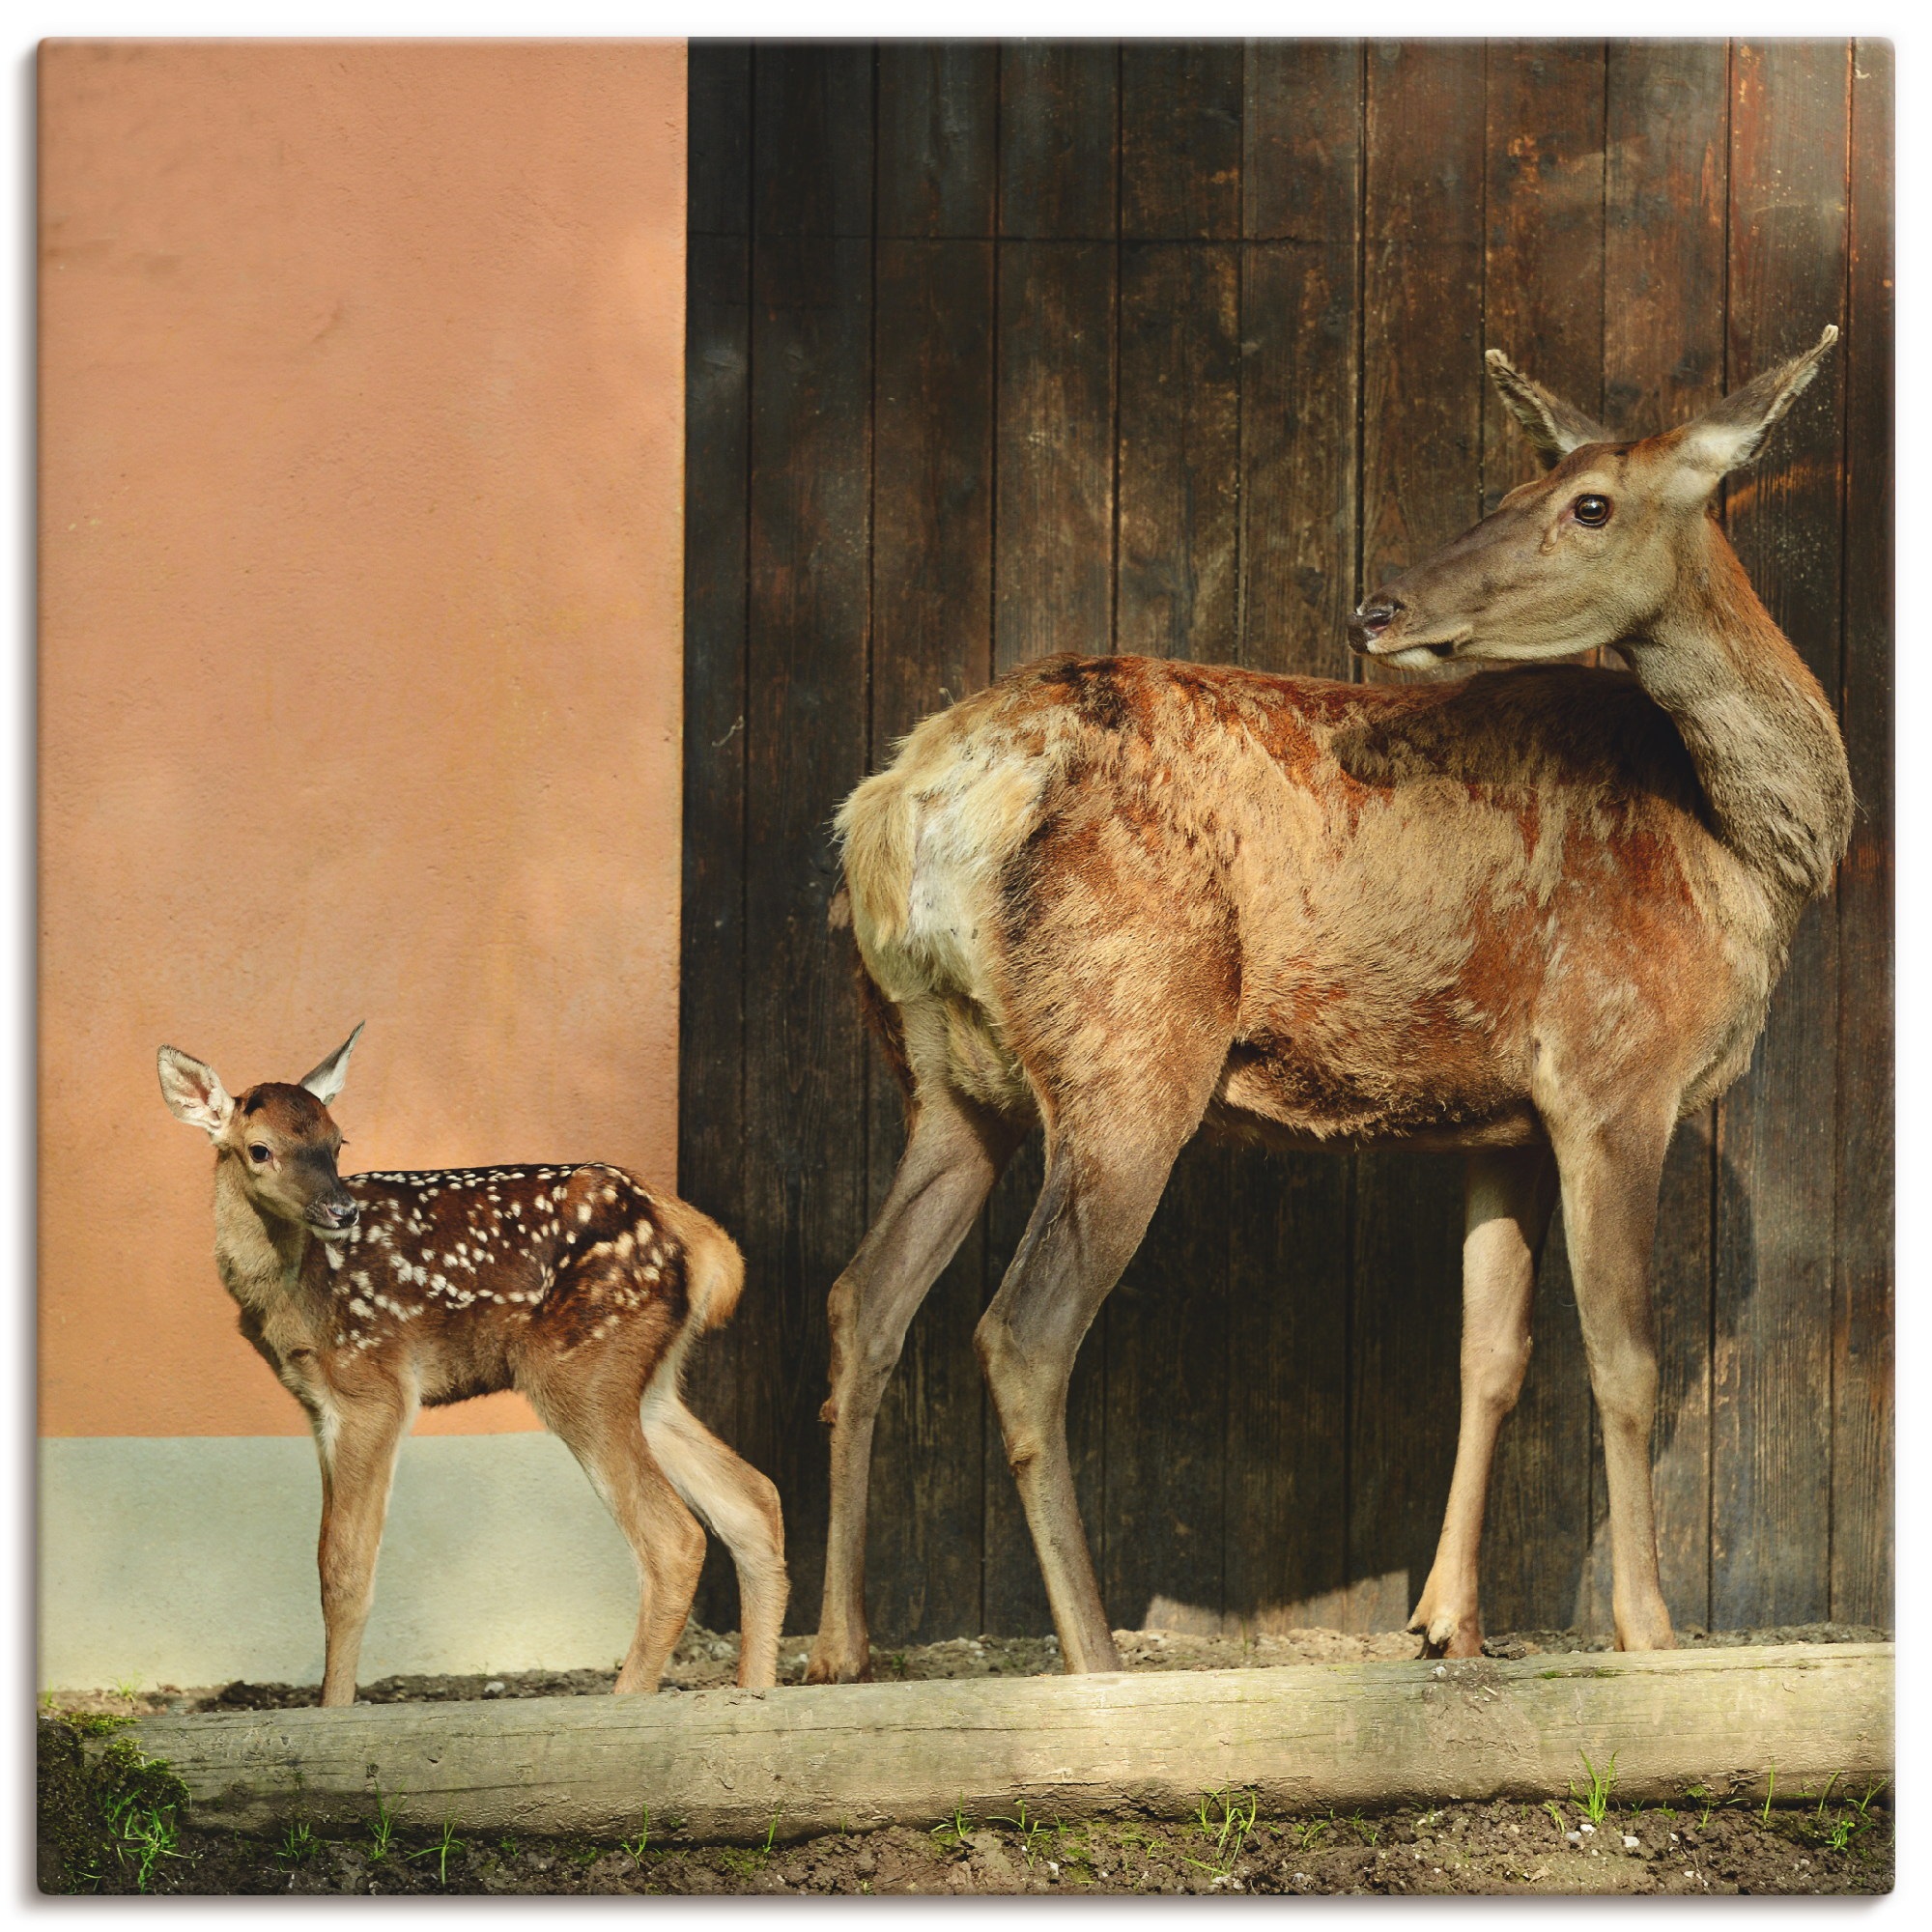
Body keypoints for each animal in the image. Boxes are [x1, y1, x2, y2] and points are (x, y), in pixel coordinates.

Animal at [158, 1025, 787, 1707]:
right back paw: (755, 1694)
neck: (299, 1292)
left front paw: (332, 1711)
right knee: (754, 1499)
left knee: (676, 1537)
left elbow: (345, 1571)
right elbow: (328, 1559)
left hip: (581, 1365)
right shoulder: (316, 1402)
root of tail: (698, 1238)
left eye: (336, 1140)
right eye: (260, 1149)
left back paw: (626, 1700)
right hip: (646, 1379)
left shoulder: (374, 1383)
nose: (341, 1211)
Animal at [804, 325, 1850, 1683]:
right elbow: (1622, 1358)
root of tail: (905, 802)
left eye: (1584, 500)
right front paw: (1647, 1630)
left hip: (941, 1072)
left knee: (863, 1297)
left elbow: (1490, 1355)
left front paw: (1445, 1622)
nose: (1379, 604)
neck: (1736, 855)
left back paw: (829, 1646)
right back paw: (1090, 1656)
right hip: (1127, 1043)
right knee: (1021, 1329)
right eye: (1520, 485)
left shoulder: (1501, 1115)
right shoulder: (1612, 1071)